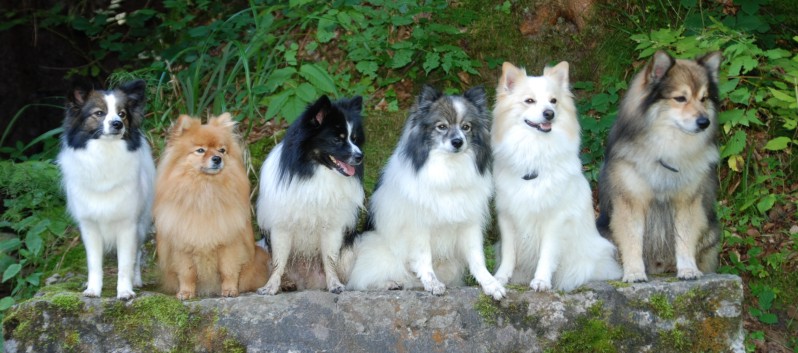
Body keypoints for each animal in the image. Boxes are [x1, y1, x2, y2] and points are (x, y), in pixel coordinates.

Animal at [155, 113, 270, 300]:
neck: (206, 189)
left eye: (222, 150)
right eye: (200, 150)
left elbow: (228, 270)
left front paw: (230, 290)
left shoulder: (228, 243)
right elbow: (187, 273)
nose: (217, 158)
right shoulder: (183, 246)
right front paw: (186, 292)